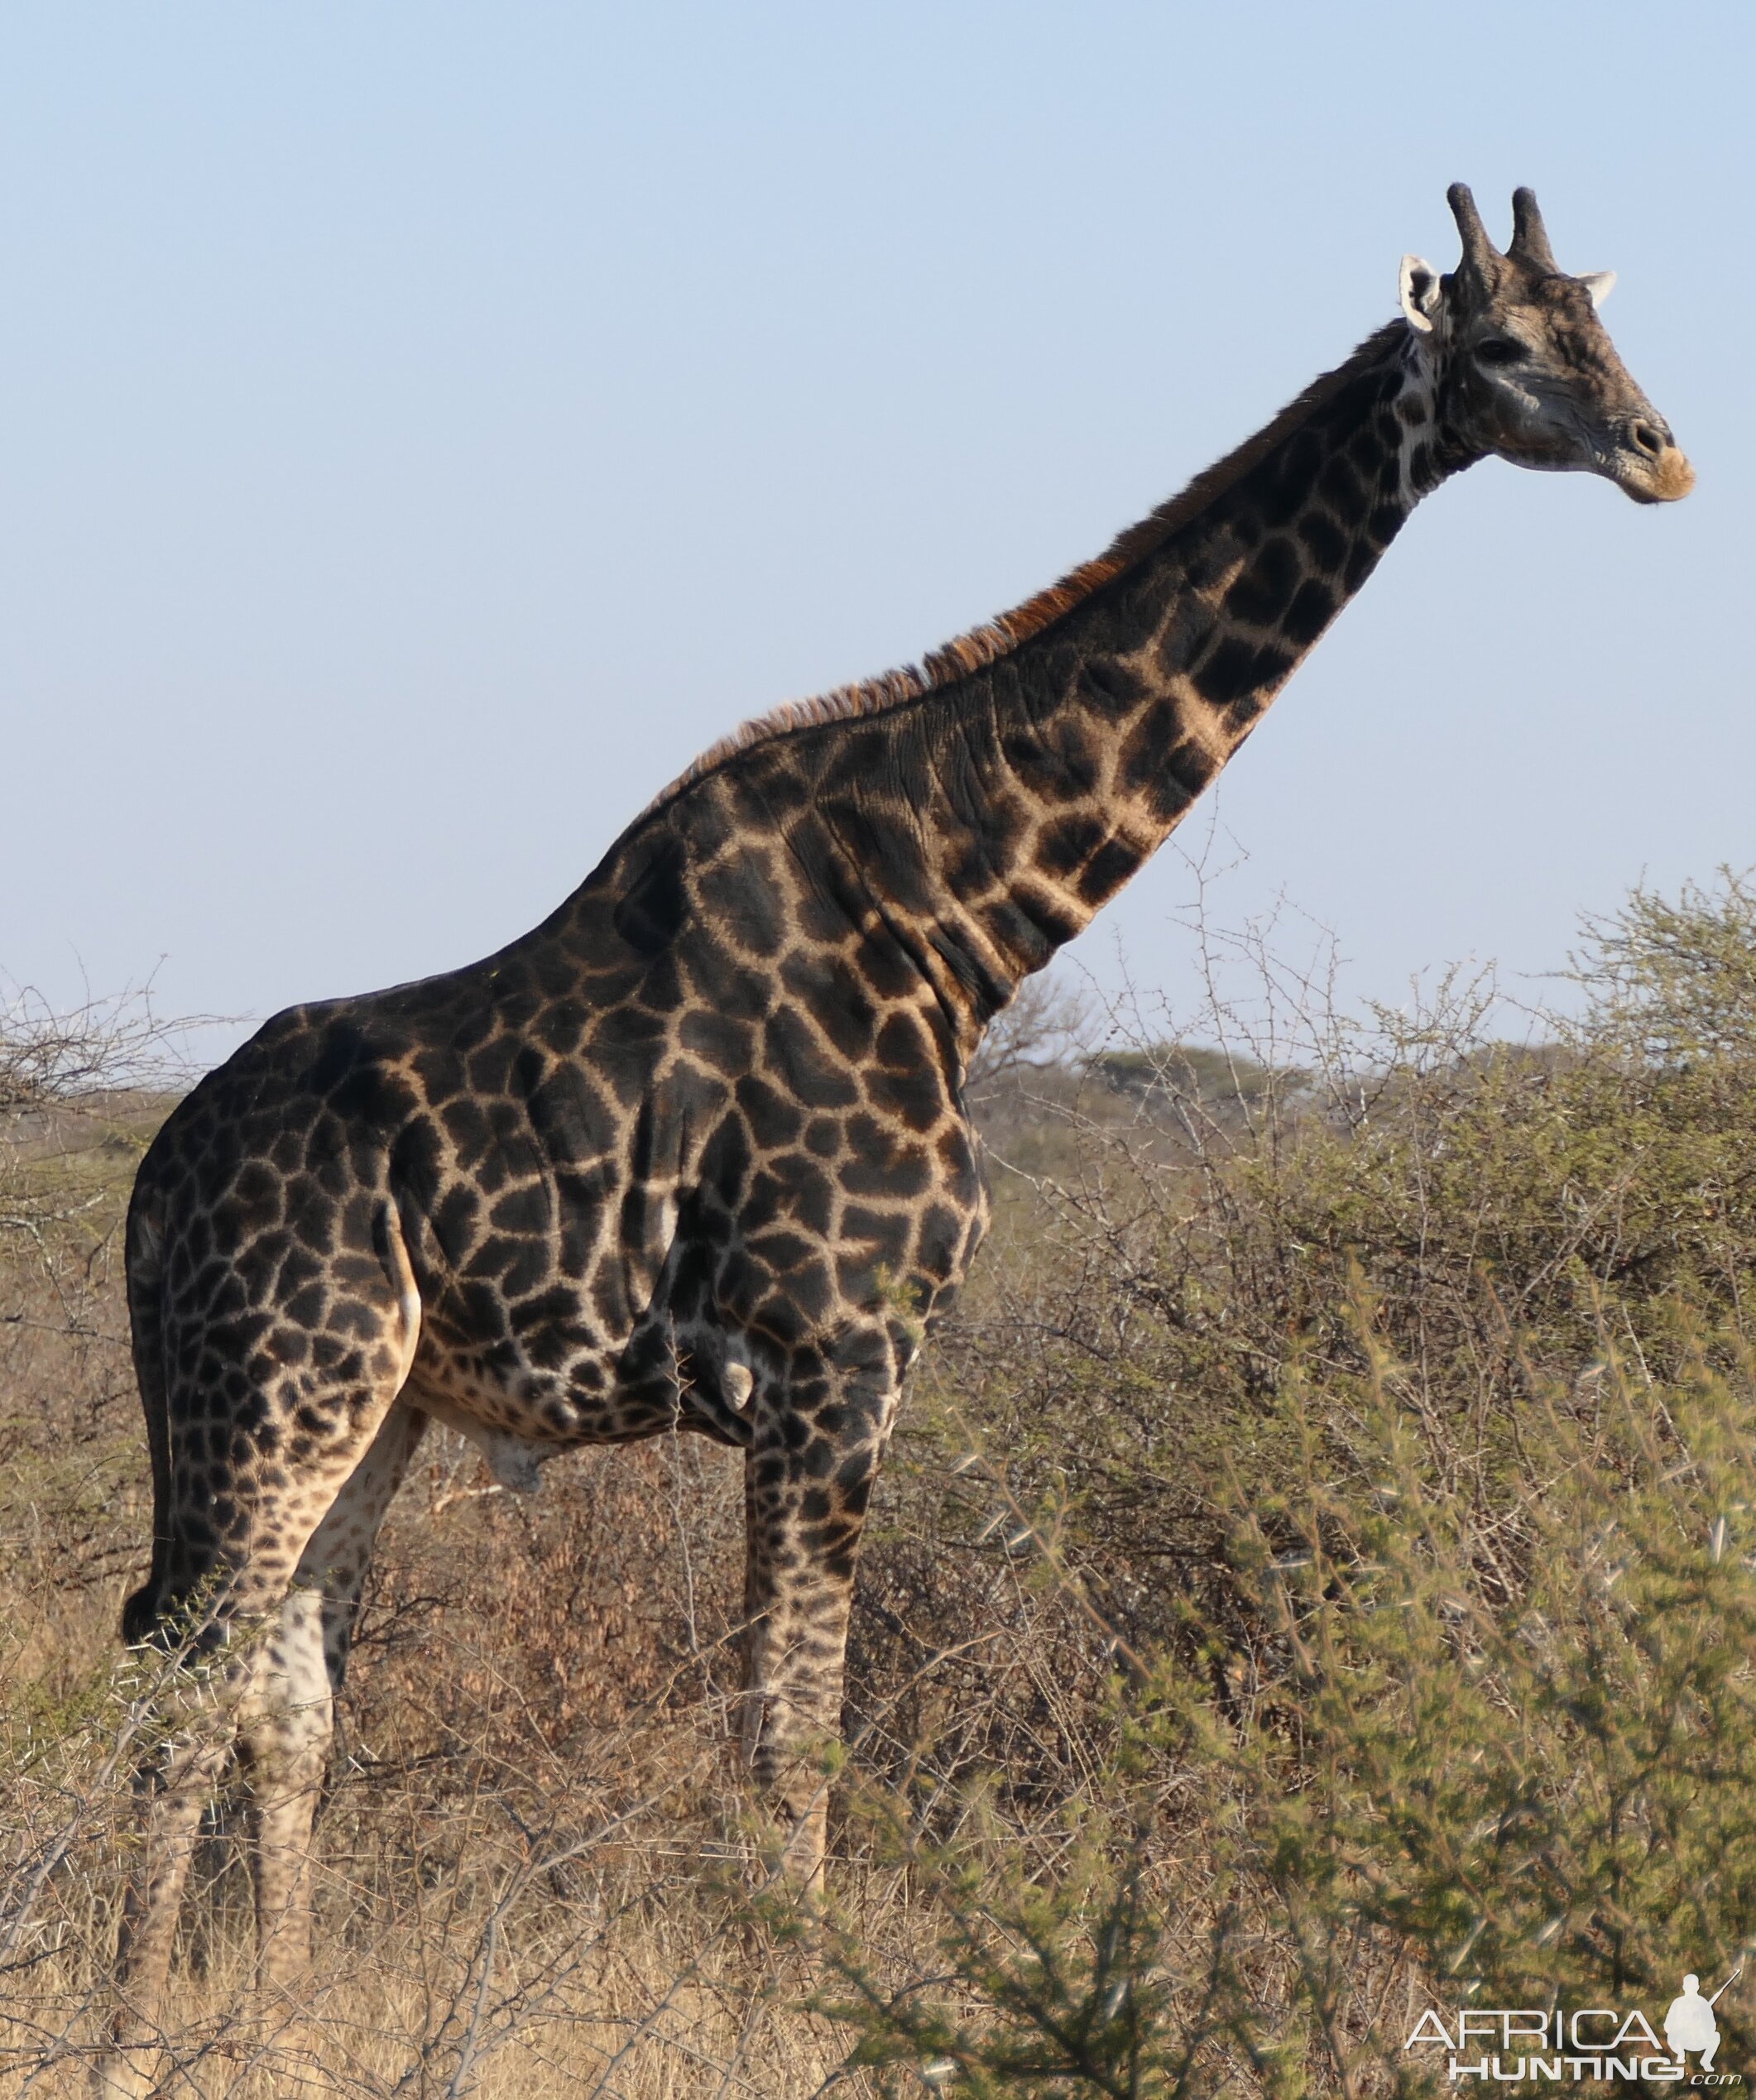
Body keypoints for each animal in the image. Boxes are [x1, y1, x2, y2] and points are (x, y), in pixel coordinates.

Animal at [98, 185, 1688, 2083]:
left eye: (1607, 326)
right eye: (1509, 345)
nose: (1664, 456)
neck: (958, 922)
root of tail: (152, 1189)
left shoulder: (830, 1378)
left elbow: (777, 1734)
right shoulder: (827, 1362)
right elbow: (791, 1739)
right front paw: (783, 2035)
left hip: (374, 1405)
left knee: (283, 1699)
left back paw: (273, 2033)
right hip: (276, 1380)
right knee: (180, 1678)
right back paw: (126, 2041)